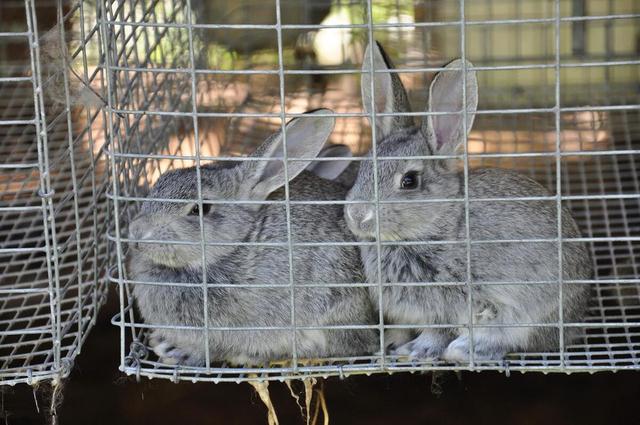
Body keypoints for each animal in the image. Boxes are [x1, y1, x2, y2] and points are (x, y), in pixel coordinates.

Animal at [342, 42, 592, 362]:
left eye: (409, 181)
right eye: (362, 167)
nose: (357, 215)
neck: (435, 225)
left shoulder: (451, 304)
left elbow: (438, 332)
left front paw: (416, 350)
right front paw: (391, 346)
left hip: (526, 314)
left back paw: (463, 350)